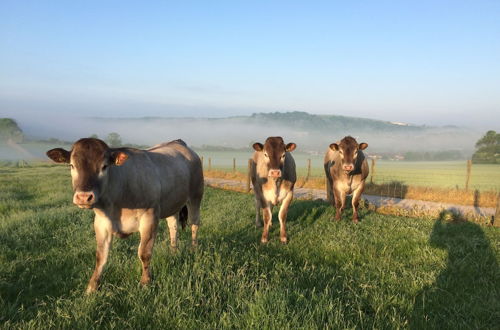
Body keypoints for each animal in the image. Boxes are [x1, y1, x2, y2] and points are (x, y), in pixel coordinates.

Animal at [46, 138, 203, 292]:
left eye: (104, 166)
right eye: (72, 165)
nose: (84, 197)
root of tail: (179, 142)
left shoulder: (150, 217)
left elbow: (144, 253)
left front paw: (145, 282)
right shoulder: (101, 223)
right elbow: (101, 256)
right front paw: (92, 287)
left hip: (195, 196)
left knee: (194, 224)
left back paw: (194, 249)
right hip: (173, 203)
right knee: (173, 226)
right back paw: (173, 251)